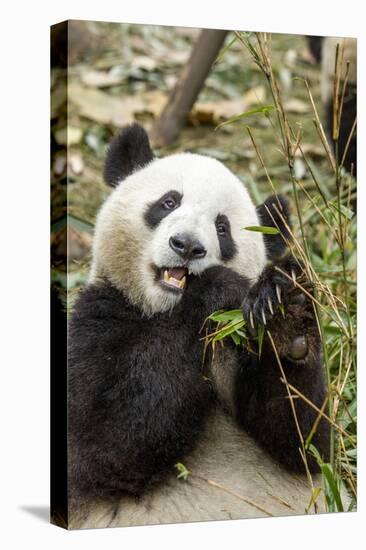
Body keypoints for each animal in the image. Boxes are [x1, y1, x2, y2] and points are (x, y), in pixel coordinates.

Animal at [67, 124, 330, 532]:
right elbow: (106, 446)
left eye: (222, 228)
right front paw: (219, 286)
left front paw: (287, 310)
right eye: (168, 203)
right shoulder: (97, 320)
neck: (162, 313)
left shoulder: (235, 346)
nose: (188, 246)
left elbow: (303, 446)